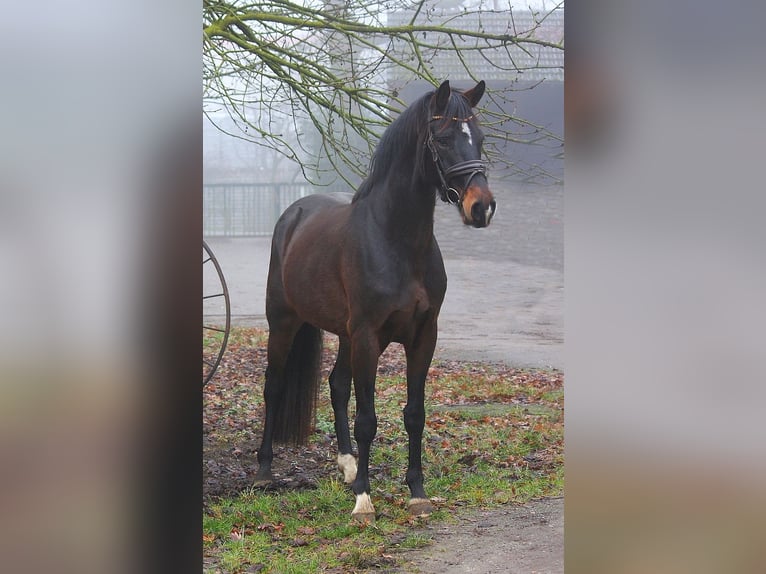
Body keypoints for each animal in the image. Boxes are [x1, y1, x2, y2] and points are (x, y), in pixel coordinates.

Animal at [254, 80, 496, 523]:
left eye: (480, 138)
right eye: (443, 138)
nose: (481, 207)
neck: (396, 241)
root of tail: (294, 213)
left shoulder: (423, 337)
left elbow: (414, 414)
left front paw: (416, 493)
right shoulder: (368, 336)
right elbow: (367, 418)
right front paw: (364, 500)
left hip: (345, 334)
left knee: (336, 385)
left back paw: (348, 464)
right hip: (283, 322)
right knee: (274, 386)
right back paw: (265, 470)